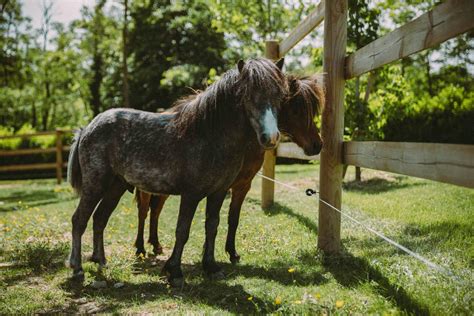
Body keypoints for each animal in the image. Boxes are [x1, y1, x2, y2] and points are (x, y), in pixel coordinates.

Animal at [133, 74, 324, 262]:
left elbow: (232, 219)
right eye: (296, 110)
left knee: (156, 210)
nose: (317, 145)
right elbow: (211, 220)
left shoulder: (242, 186)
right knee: (143, 212)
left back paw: (156, 245)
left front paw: (231, 252)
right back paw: (140, 248)